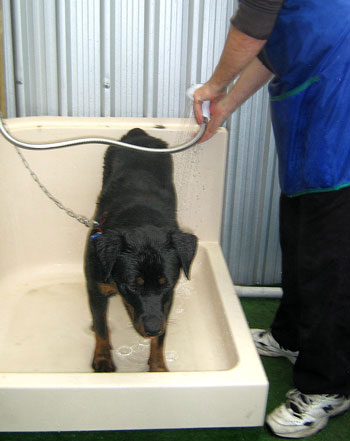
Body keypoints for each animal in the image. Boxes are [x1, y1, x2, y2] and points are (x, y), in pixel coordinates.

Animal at [84, 128, 197, 372]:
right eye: (132, 286)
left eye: (167, 285)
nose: (153, 328)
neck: (140, 217)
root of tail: (139, 133)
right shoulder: (95, 288)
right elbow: (100, 326)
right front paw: (103, 359)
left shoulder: (167, 299)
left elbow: (161, 338)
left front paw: (157, 366)